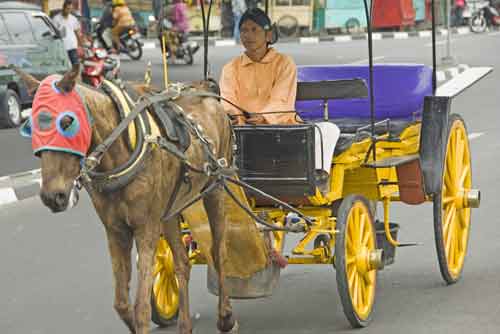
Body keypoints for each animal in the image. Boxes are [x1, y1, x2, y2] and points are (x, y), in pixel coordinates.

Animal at [16, 66, 239, 334]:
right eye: (30, 127)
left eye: (67, 122)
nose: (52, 196)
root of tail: (206, 89)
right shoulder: (116, 230)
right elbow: (122, 303)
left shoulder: (146, 228)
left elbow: (141, 307)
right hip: (170, 210)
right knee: (182, 262)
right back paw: (185, 325)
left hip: (216, 188)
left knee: (219, 252)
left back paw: (226, 317)